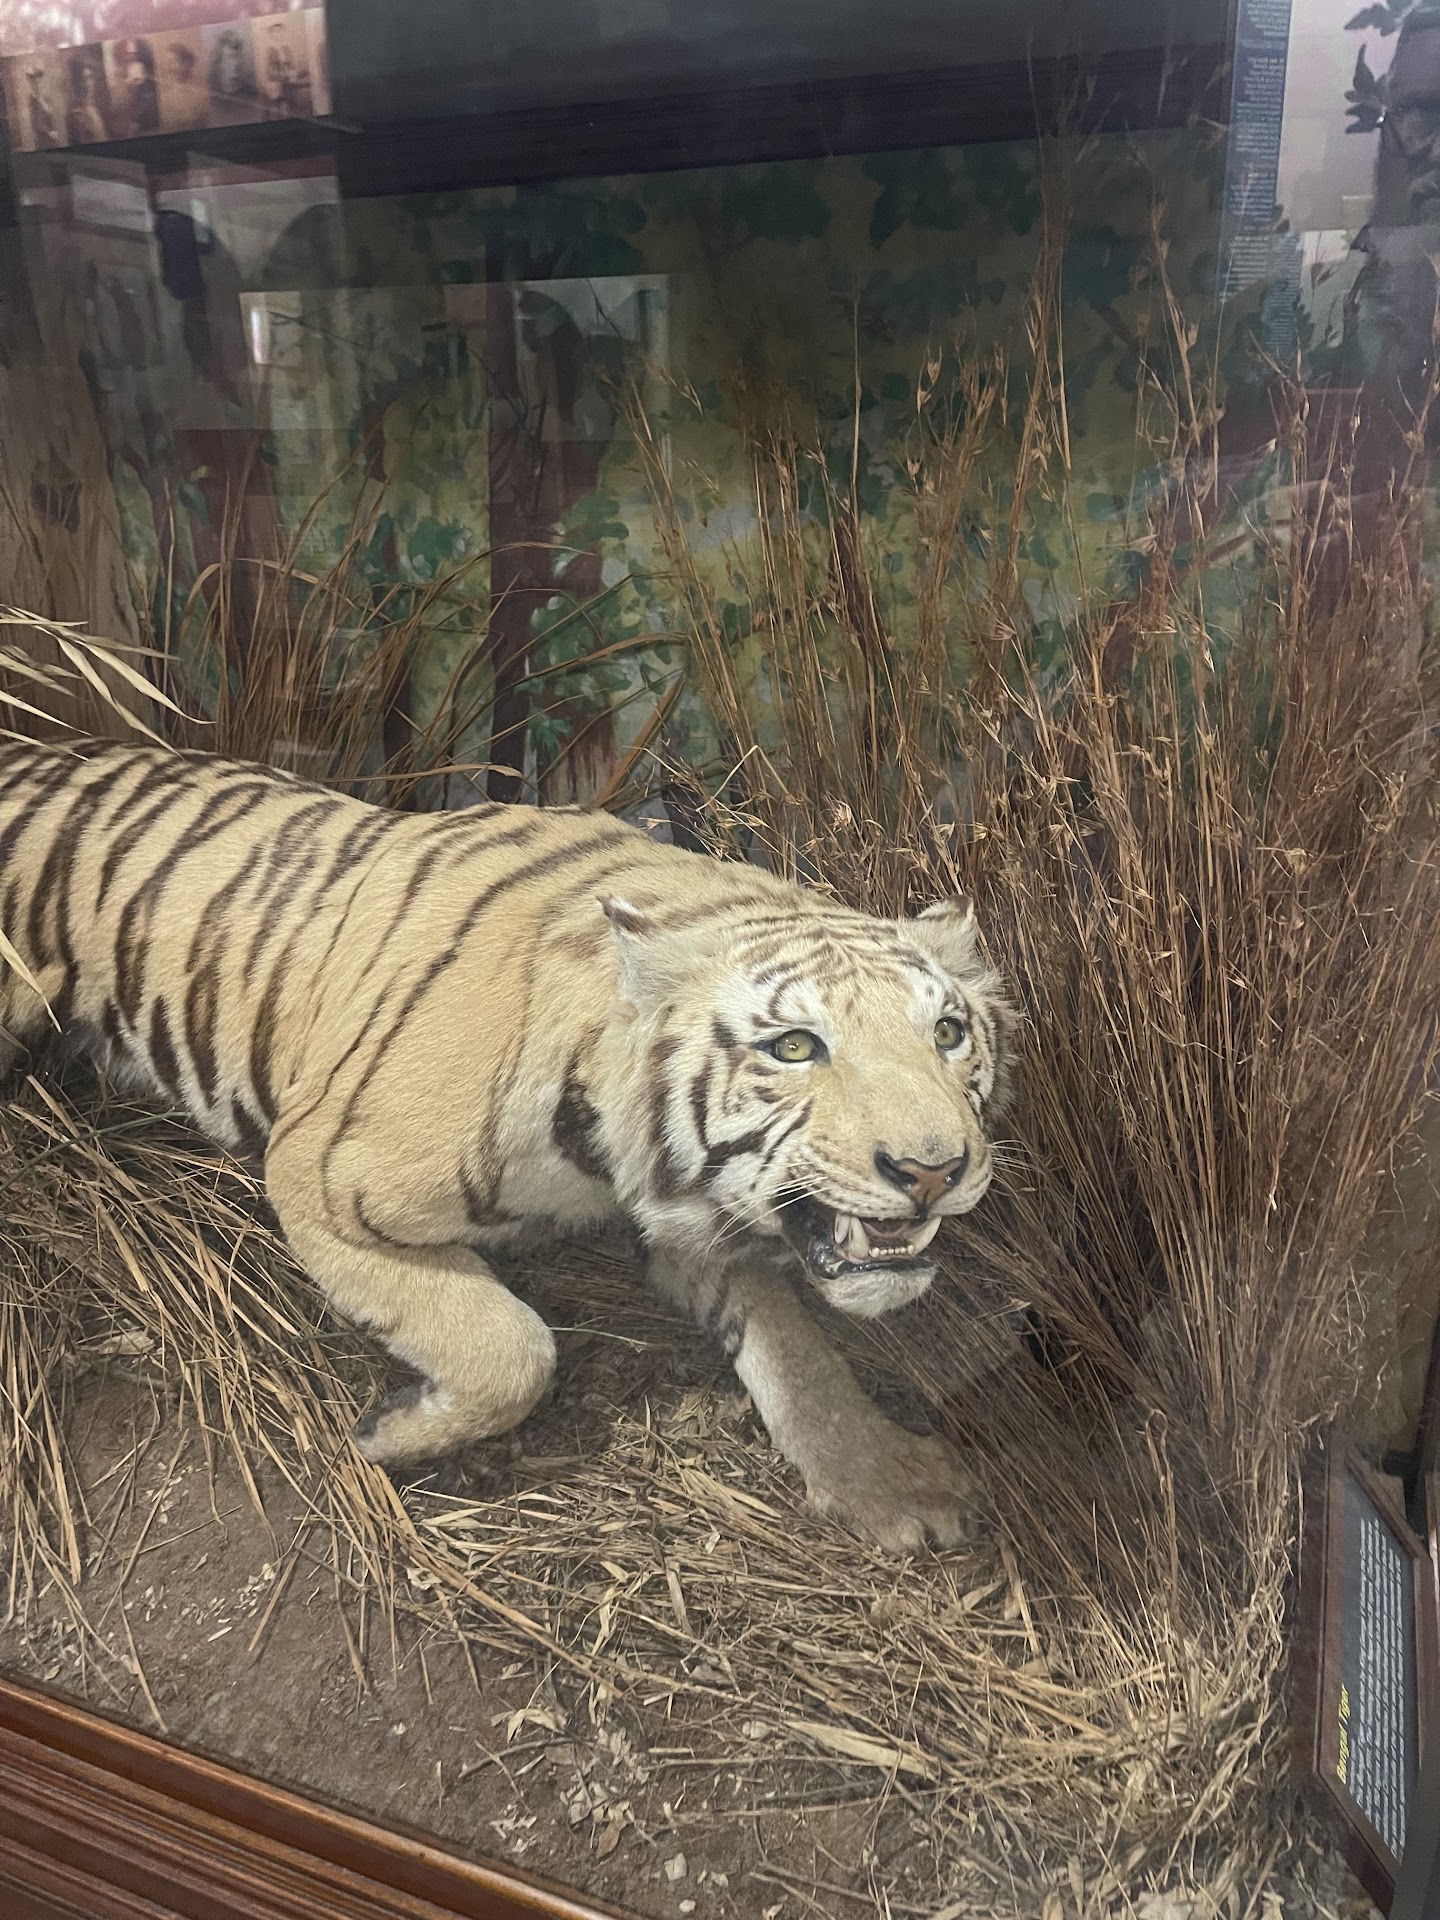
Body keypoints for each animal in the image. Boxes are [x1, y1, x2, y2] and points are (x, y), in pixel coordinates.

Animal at [0, 740, 1015, 1552]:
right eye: (795, 1047)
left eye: (948, 1034)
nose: (934, 1172)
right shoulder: (318, 1172)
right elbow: (510, 1347)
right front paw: (388, 1433)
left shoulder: (693, 1221)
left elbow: (797, 1348)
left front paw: (890, 1481)